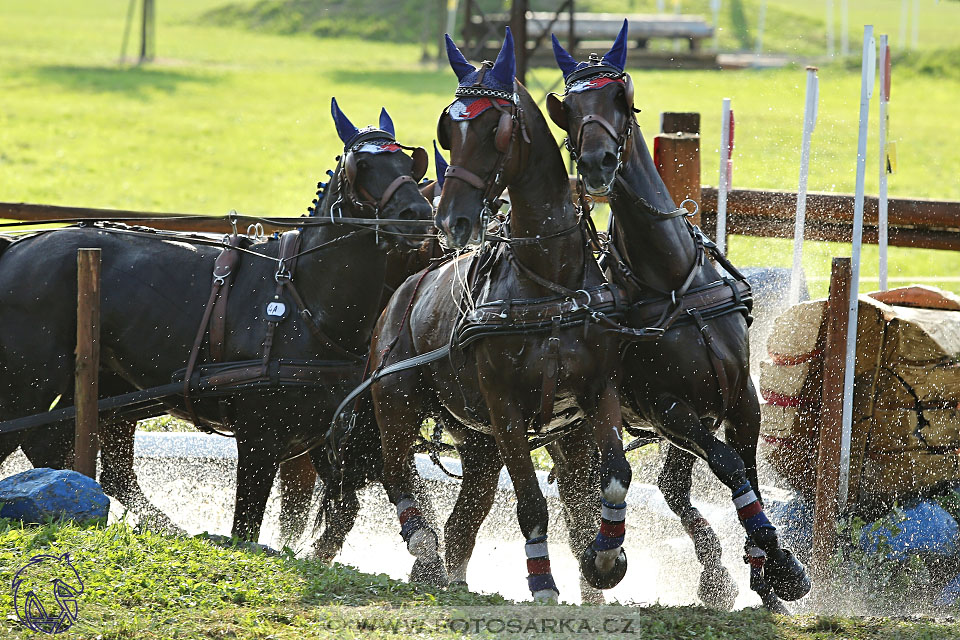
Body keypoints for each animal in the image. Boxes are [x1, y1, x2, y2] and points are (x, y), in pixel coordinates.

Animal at [0, 97, 432, 544]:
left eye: (409, 163)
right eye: (361, 166)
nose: (418, 212)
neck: (304, 301)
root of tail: (15, 248)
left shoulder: (327, 433)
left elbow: (344, 508)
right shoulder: (260, 438)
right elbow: (247, 525)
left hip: (104, 388)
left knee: (72, 454)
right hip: (26, 386)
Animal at [368, 28, 632, 600]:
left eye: (498, 129)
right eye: (449, 130)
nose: (450, 218)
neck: (547, 279)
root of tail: (402, 294)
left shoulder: (598, 392)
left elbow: (616, 474)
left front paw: (605, 558)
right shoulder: (505, 409)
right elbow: (532, 503)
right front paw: (544, 584)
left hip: (478, 444)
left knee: (461, 524)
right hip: (398, 404)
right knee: (396, 474)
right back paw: (421, 543)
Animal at [548, 21, 808, 608]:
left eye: (620, 98)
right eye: (567, 110)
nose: (596, 163)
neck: (671, 280)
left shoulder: (737, 395)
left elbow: (743, 472)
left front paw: (768, 568)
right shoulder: (667, 407)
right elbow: (729, 466)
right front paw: (768, 563)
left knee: (663, 487)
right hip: (573, 428)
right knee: (580, 498)